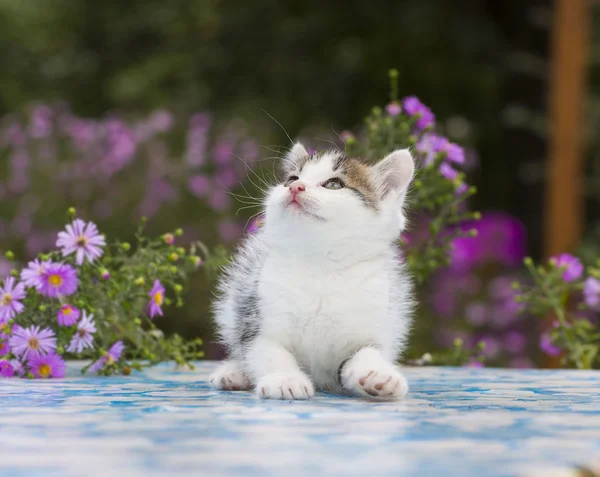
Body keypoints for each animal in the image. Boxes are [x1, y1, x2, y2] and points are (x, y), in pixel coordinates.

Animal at [209, 143, 414, 400]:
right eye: (292, 179)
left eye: (334, 184)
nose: (296, 187)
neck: (320, 264)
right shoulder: (256, 317)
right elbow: (269, 351)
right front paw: (285, 379)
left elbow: (364, 352)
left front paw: (377, 374)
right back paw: (235, 373)